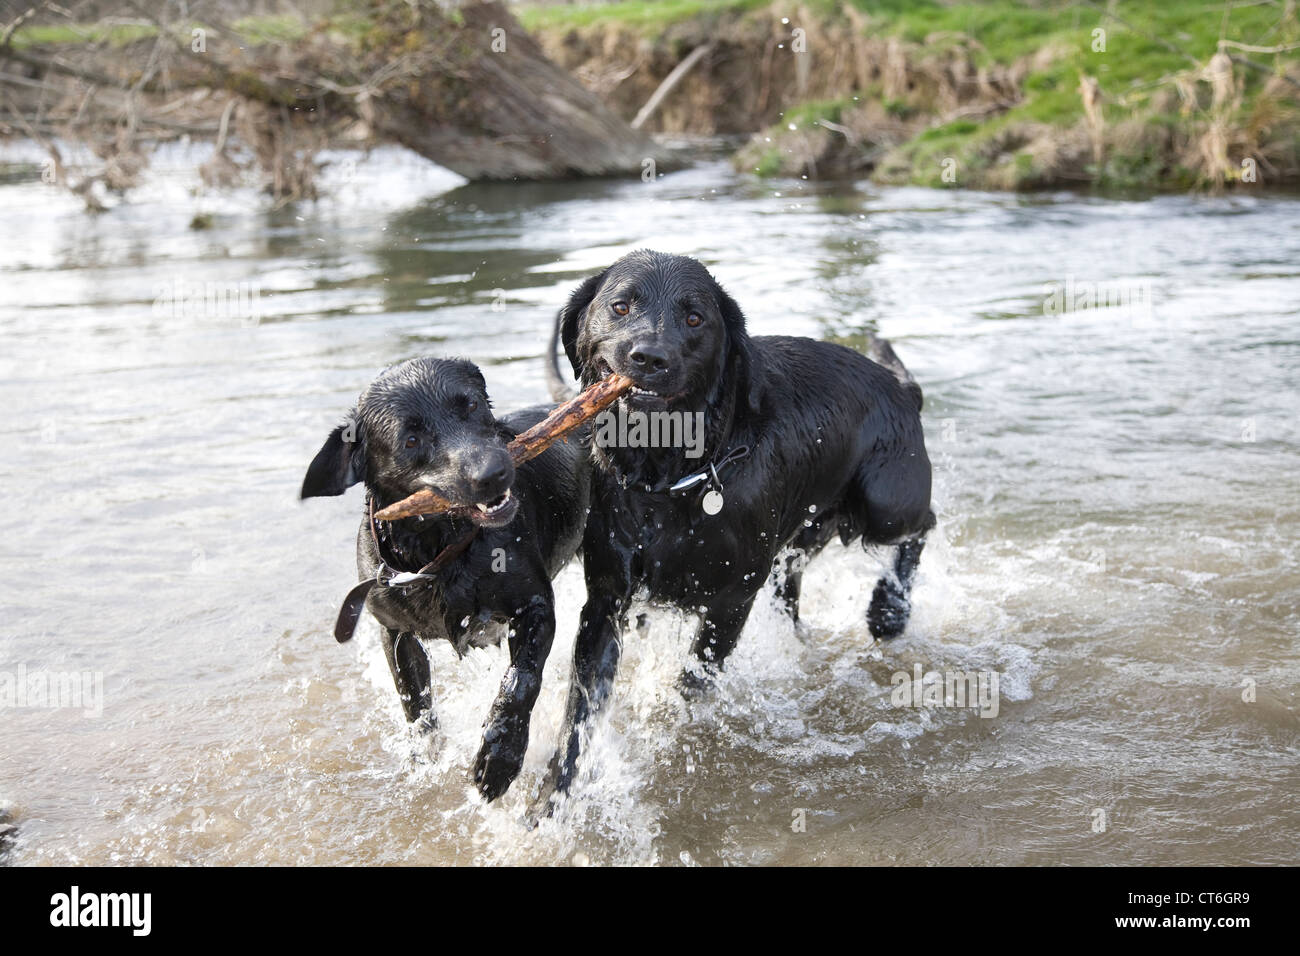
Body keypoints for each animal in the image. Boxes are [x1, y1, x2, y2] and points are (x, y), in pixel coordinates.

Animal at [299, 356, 590, 801]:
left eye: (470, 405)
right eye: (410, 440)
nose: (494, 473)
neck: (439, 552)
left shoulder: (535, 607)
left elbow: (520, 680)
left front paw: (500, 755)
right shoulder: (396, 634)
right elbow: (415, 704)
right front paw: (425, 759)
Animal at [538, 251, 935, 806]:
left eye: (695, 318)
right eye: (620, 306)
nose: (649, 357)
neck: (668, 481)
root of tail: (902, 387)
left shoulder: (731, 603)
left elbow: (689, 686)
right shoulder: (605, 602)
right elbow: (578, 717)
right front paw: (544, 802)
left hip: (887, 503)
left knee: (923, 527)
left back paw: (889, 611)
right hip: (805, 531)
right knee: (793, 583)